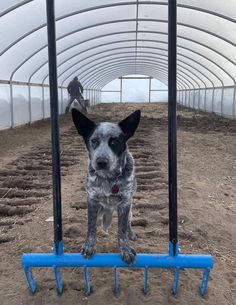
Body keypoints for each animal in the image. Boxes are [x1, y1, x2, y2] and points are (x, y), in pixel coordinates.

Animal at [72, 107, 141, 264]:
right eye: (94, 141)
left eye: (114, 141)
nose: (101, 162)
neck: (109, 179)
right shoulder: (92, 201)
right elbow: (91, 228)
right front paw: (89, 246)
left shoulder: (125, 203)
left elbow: (121, 230)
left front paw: (126, 249)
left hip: (129, 210)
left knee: (128, 223)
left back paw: (131, 234)